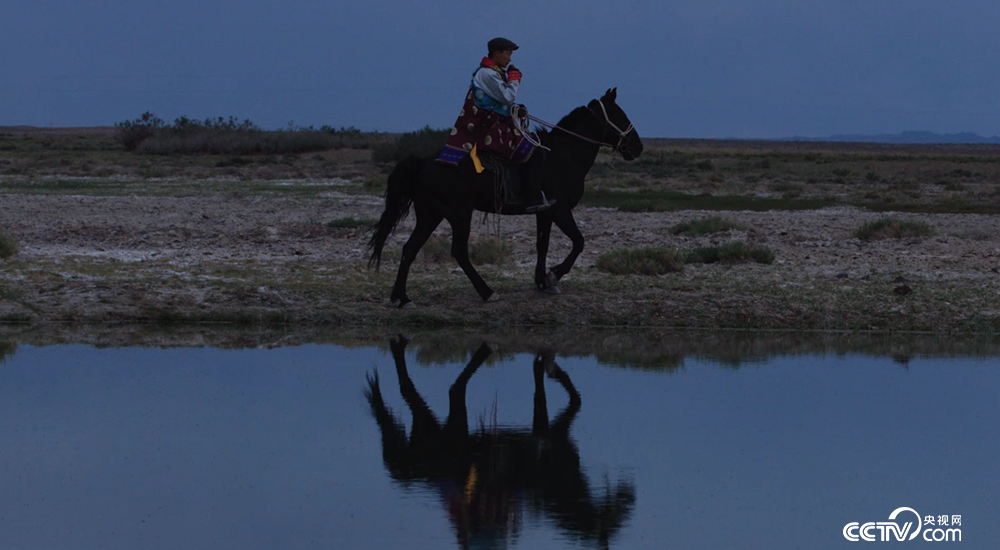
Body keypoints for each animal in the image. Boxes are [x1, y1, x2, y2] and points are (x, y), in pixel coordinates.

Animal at [366, 338, 632, 548]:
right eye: (613, 521)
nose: (629, 494)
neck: (551, 479)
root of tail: (421, 471)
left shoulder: (546, 430)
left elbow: (558, 393)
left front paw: (549, 368)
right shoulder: (552, 436)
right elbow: (569, 397)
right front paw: (548, 368)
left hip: (436, 430)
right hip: (453, 428)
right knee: (449, 388)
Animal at [368, 88, 640, 308]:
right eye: (621, 115)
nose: (638, 146)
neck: (563, 156)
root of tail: (423, 163)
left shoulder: (545, 212)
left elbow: (543, 245)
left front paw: (542, 282)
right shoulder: (560, 210)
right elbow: (578, 242)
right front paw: (553, 275)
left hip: (430, 214)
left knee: (410, 249)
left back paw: (402, 298)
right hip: (458, 213)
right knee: (458, 251)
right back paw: (487, 292)